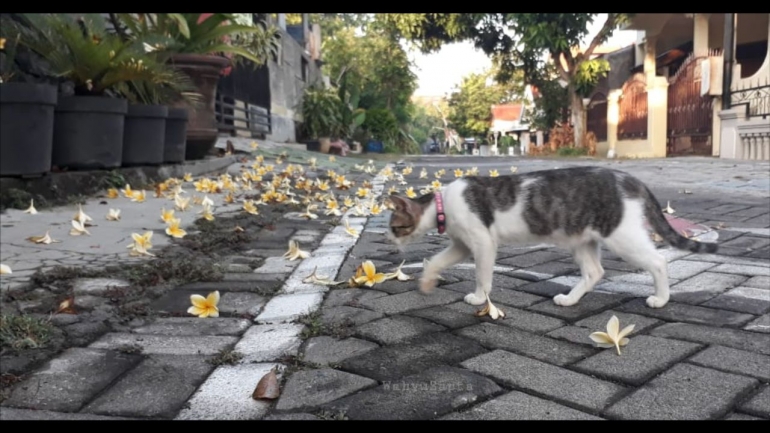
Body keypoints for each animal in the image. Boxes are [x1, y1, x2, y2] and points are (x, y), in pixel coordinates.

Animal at [388, 164, 716, 308]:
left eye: (394, 227)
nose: (392, 244)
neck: (443, 203)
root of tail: (630, 178)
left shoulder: (482, 243)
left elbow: (482, 275)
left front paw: (480, 297)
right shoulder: (461, 245)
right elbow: (435, 261)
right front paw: (426, 283)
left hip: (622, 237)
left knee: (658, 261)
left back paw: (661, 298)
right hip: (582, 239)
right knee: (595, 272)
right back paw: (569, 299)